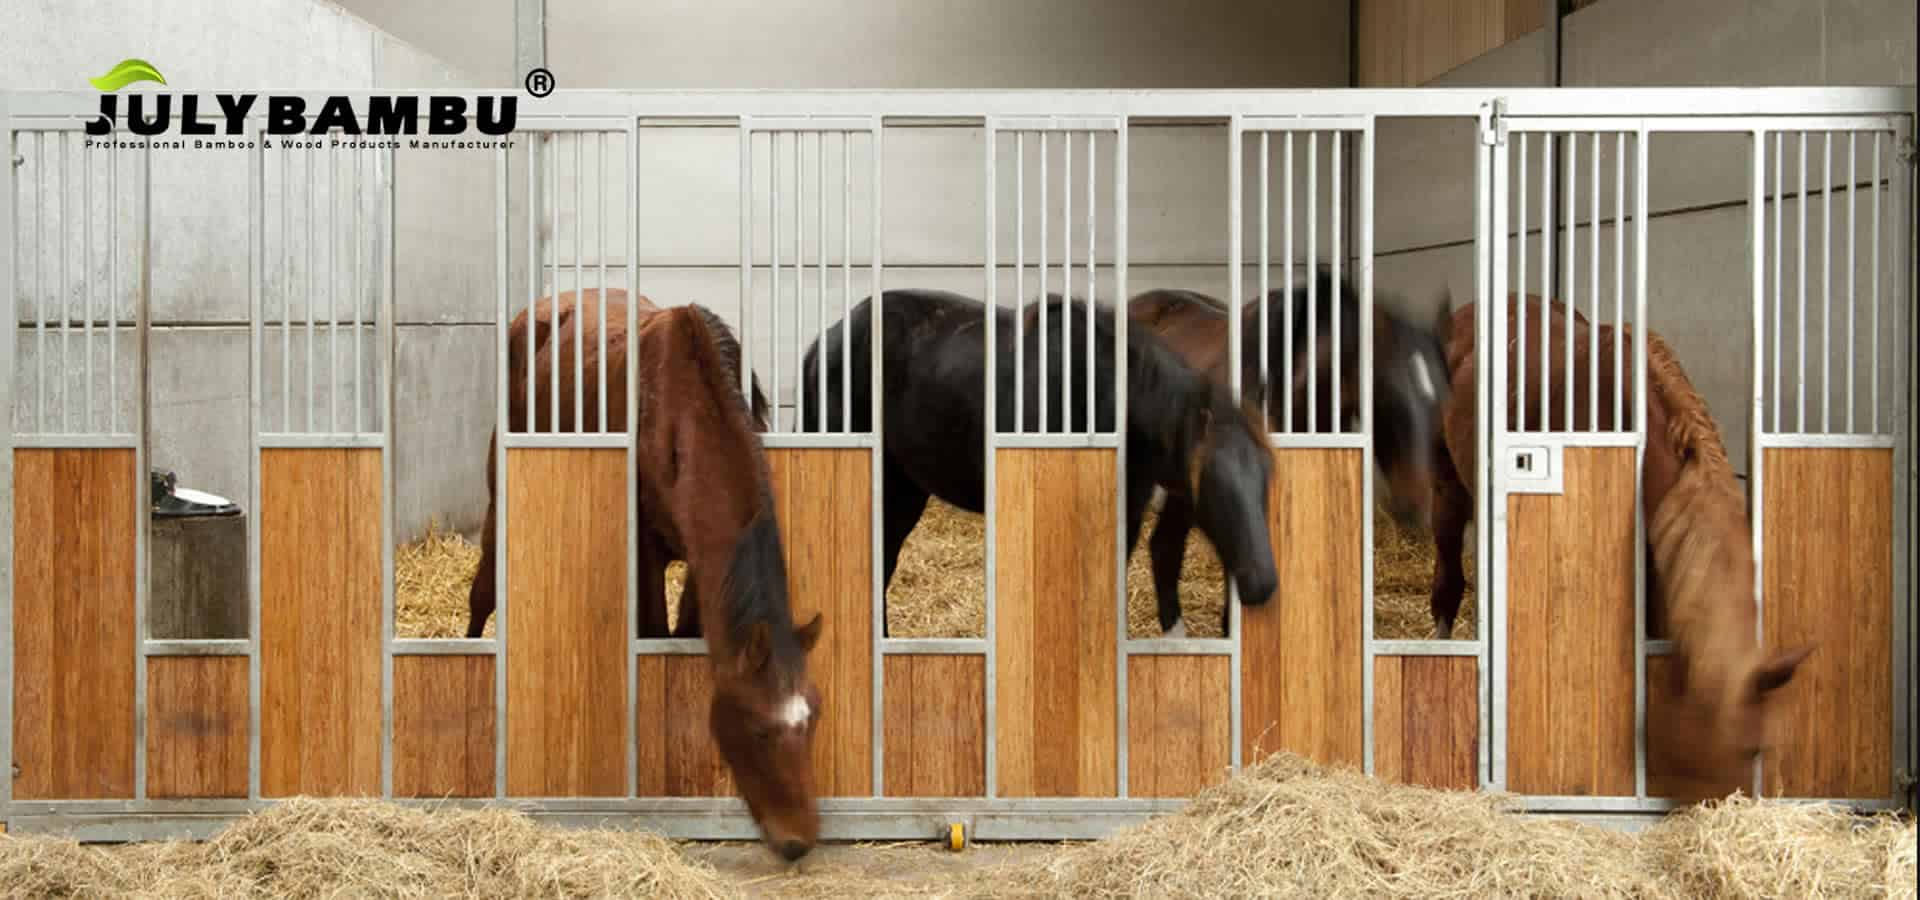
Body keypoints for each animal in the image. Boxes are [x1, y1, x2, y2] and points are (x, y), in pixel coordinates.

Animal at [460, 288, 822, 860]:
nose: (799, 841)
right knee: (483, 592)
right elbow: (654, 634)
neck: (681, 413)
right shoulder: (647, 556)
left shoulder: (702, 566)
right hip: (501, 485)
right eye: (756, 728)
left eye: (813, 718)